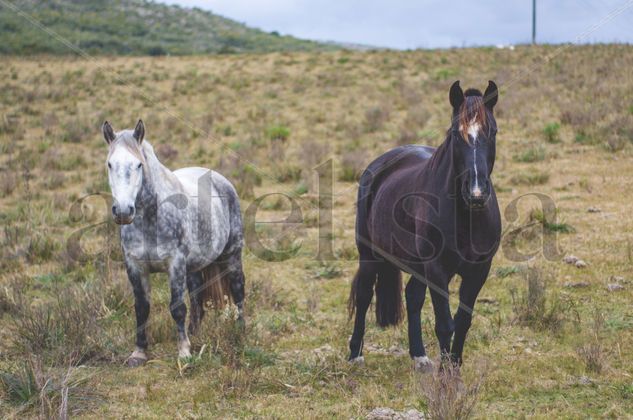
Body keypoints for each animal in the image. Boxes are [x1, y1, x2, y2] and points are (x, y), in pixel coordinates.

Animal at [102, 120, 243, 366]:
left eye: (138, 165)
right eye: (110, 164)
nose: (123, 211)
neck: (151, 219)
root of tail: (222, 180)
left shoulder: (174, 263)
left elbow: (177, 307)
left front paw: (184, 352)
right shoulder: (135, 266)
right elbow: (142, 307)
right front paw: (139, 352)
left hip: (232, 256)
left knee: (238, 290)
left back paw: (242, 331)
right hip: (194, 267)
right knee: (197, 301)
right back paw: (195, 334)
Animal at [348, 80, 502, 370]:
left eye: (493, 131)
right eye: (455, 134)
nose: (476, 193)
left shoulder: (478, 270)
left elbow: (463, 322)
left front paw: (454, 366)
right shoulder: (437, 268)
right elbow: (445, 325)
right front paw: (446, 374)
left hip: (419, 265)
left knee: (412, 297)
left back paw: (419, 355)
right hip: (369, 254)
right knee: (363, 296)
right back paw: (355, 354)